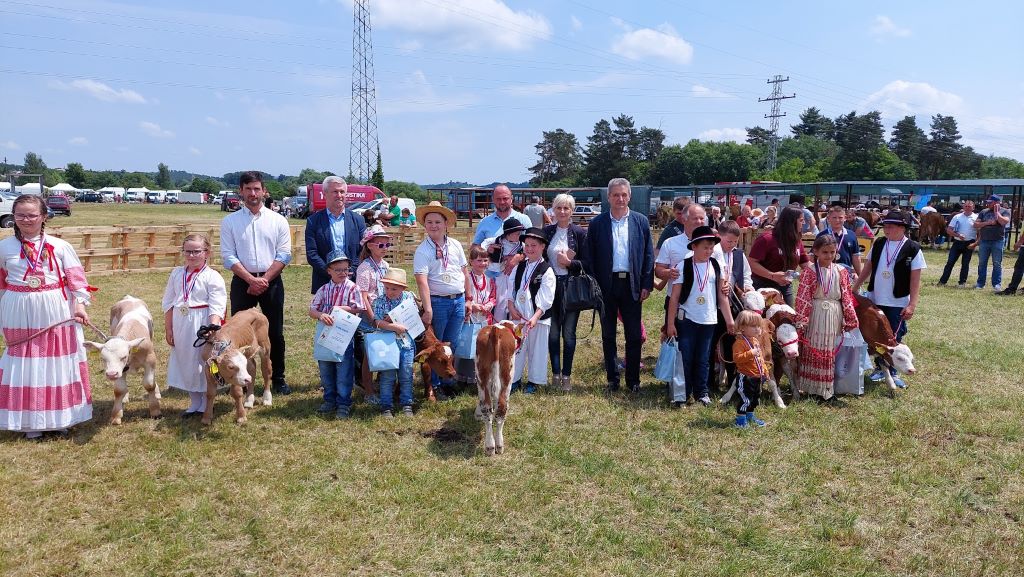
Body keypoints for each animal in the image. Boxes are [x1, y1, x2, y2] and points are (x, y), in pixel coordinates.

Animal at [473, 319, 520, 457]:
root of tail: (496, 330)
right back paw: (498, 445)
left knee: (488, 408)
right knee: (501, 408)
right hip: (507, 376)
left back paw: (490, 446)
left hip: (482, 375)